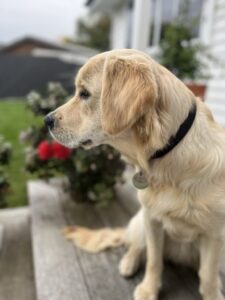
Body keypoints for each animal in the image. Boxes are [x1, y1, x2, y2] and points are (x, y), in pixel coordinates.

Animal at [44, 49, 225, 300]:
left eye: (84, 93)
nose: (47, 120)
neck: (169, 153)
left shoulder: (215, 233)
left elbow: (207, 276)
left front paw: (213, 293)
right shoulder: (152, 220)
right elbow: (154, 261)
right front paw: (149, 289)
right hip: (140, 222)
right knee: (136, 247)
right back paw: (128, 263)